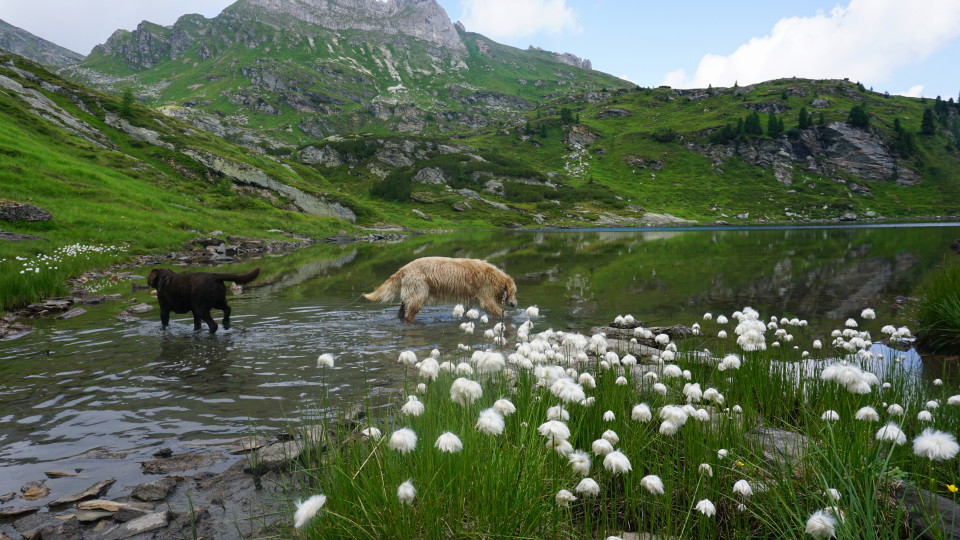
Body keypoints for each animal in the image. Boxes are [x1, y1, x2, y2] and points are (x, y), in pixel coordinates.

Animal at [364, 256, 516, 320]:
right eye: (514, 292)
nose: (515, 304)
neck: (496, 277)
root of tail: (404, 268)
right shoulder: (485, 294)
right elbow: (494, 308)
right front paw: (506, 316)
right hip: (420, 290)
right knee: (410, 312)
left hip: (410, 291)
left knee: (403, 307)